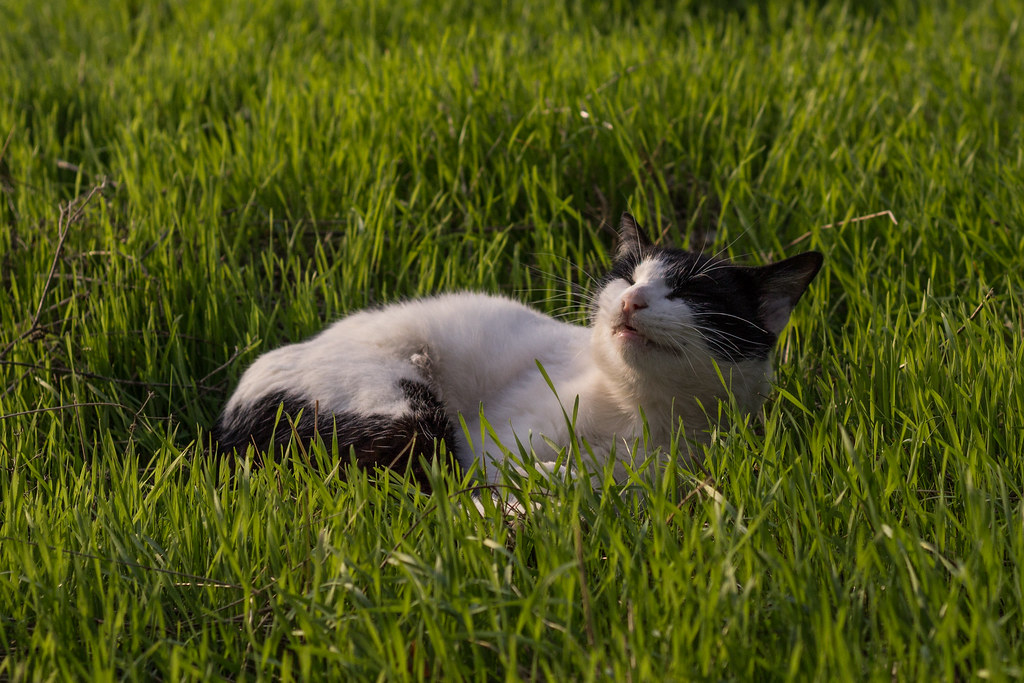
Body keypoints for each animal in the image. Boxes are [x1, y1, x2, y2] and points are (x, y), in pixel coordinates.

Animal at [216, 214, 823, 485]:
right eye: (627, 276)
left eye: (692, 292)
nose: (632, 300)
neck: (640, 421)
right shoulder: (488, 444)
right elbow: (535, 471)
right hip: (400, 408)